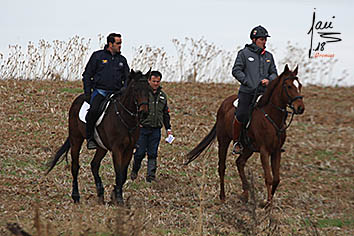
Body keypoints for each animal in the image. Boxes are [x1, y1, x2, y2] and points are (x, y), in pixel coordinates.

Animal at [46, 69, 151, 204]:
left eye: (148, 89)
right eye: (135, 89)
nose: (144, 112)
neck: (124, 117)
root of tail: (77, 100)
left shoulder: (128, 149)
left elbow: (123, 174)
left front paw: (114, 195)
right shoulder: (117, 149)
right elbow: (118, 173)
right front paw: (119, 199)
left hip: (102, 146)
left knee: (94, 165)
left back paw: (100, 193)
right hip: (76, 139)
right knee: (75, 166)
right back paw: (76, 196)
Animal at [185, 64, 304, 205]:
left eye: (300, 85)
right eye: (289, 86)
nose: (300, 108)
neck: (270, 116)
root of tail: (224, 104)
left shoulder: (276, 151)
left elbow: (276, 179)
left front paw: (269, 203)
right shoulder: (264, 151)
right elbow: (269, 178)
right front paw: (266, 204)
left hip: (248, 148)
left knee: (239, 162)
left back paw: (245, 194)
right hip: (224, 140)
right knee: (222, 167)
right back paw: (223, 196)